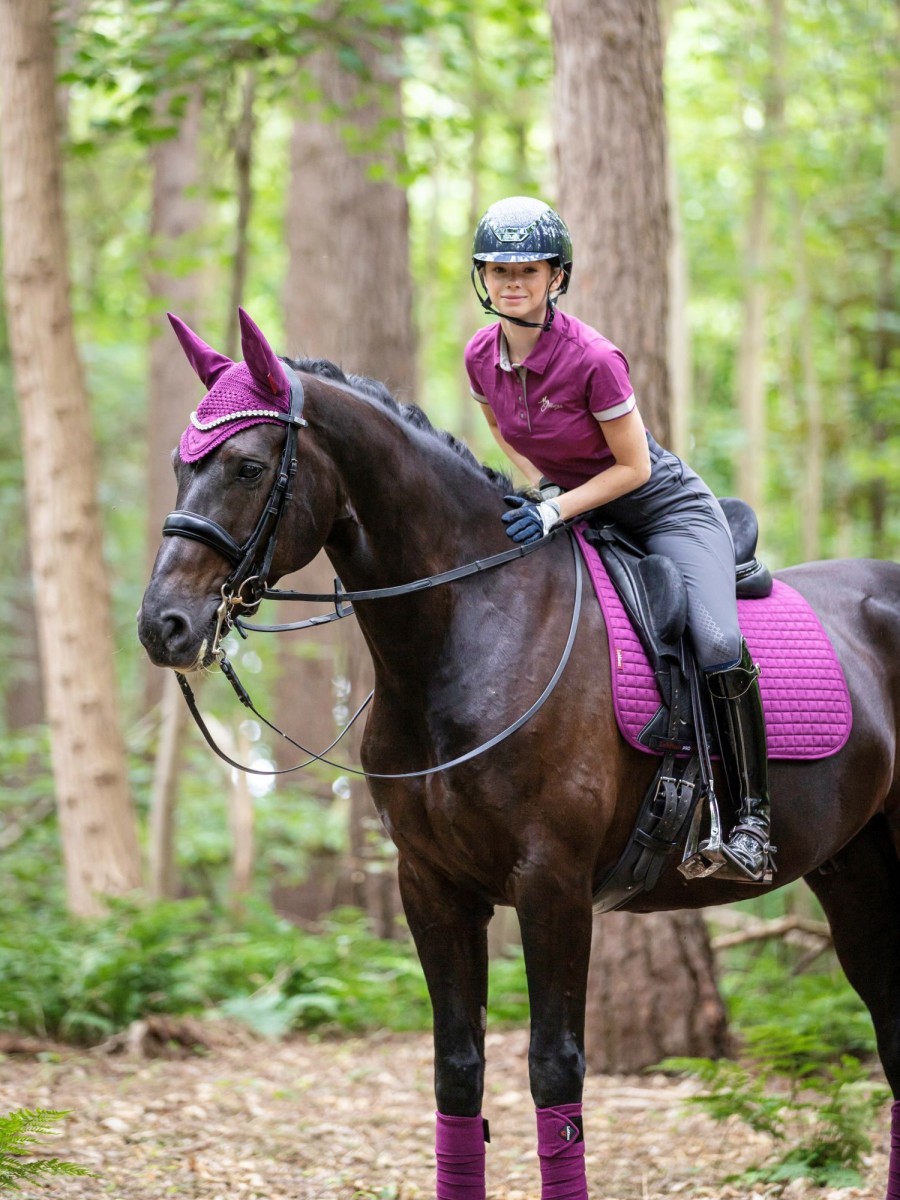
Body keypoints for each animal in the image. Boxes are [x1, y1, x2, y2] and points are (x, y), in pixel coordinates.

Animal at [137, 312, 900, 1200]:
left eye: (248, 466)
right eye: (179, 465)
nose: (164, 626)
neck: (470, 628)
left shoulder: (553, 883)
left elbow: (553, 1071)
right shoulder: (432, 884)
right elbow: (458, 1073)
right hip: (854, 872)